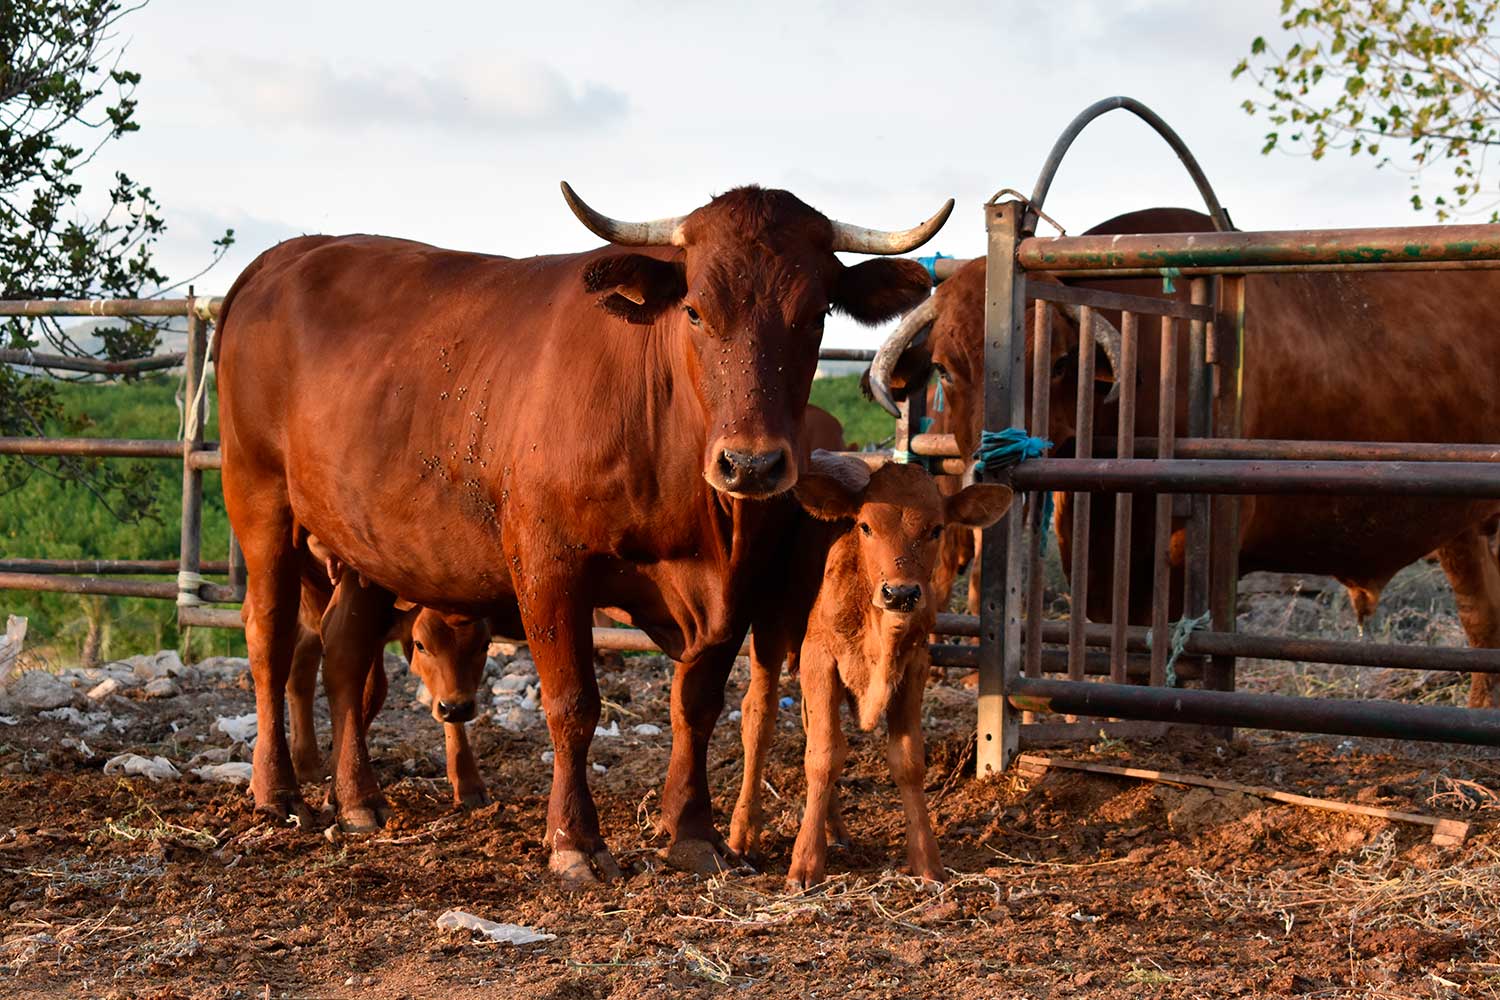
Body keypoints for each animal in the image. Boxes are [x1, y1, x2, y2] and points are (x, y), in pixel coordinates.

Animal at [215, 183, 950, 881]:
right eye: (694, 310)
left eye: (815, 314)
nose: (751, 464)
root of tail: (281, 258)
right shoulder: (548, 566)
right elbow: (572, 702)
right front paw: (575, 842)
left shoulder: (738, 584)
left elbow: (698, 704)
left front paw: (693, 833)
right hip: (258, 496)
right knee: (270, 636)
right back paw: (277, 792)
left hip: (367, 542)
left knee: (343, 647)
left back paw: (360, 799)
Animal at [727, 451, 1011, 886]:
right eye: (865, 526)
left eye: (936, 528)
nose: (900, 593)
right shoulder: (819, 656)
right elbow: (823, 755)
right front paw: (805, 863)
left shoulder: (915, 666)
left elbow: (907, 761)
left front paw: (927, 860)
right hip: (769, 632)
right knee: (759, 718)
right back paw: (743, 833)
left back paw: (835, 829)